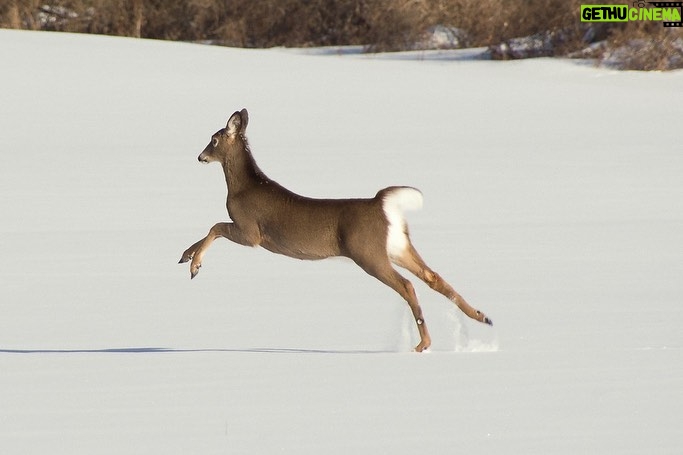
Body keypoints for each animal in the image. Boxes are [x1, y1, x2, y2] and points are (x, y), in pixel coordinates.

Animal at [179, 108, 492, 350]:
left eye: (213, 139)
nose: (200, 157)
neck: (242, 187)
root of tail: (382, 204)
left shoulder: (251, 231)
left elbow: (215, 226)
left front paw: (194, 266)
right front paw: (185, 256)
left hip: (367, 251)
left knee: (407, 285)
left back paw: (423, 344)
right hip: (398, 246)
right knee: (432, 276)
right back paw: (482, 316)